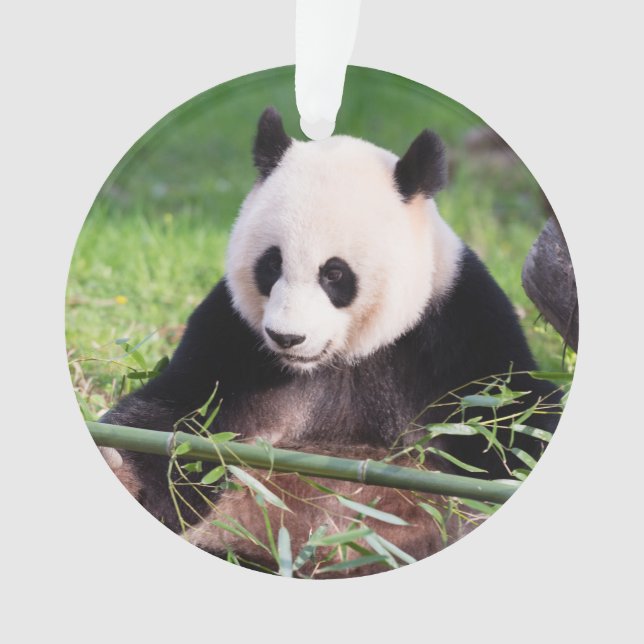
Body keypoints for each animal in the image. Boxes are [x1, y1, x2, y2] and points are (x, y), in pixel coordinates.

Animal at [100, 107, 561, 577]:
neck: (341, 357)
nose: (287, 337)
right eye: (271, 264)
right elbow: (179, 416)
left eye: (334, 274)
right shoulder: (233, 338)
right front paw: (122, 470)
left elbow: (512, 419)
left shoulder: (457, 331)